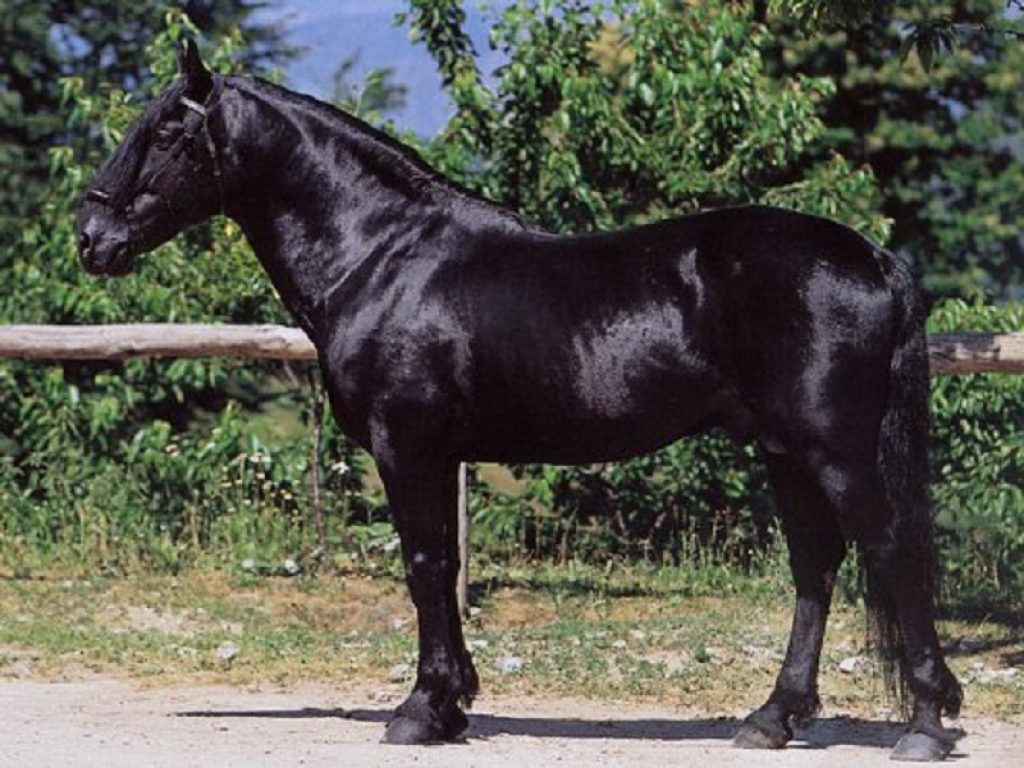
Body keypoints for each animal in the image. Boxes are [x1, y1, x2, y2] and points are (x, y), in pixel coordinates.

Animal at [76, 42, 962, 760]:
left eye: (167, 131)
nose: (92, 238)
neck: (382, 255)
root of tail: (875, 258)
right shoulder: (437, 455)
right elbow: (443, 565)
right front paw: (454, 703)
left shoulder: (408, 446)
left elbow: (425, 564)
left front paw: (421, 710)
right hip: (785, 454)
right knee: (816, 568)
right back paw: (773, 719)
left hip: (835, 450)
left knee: (890, 552)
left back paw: (923, 724)